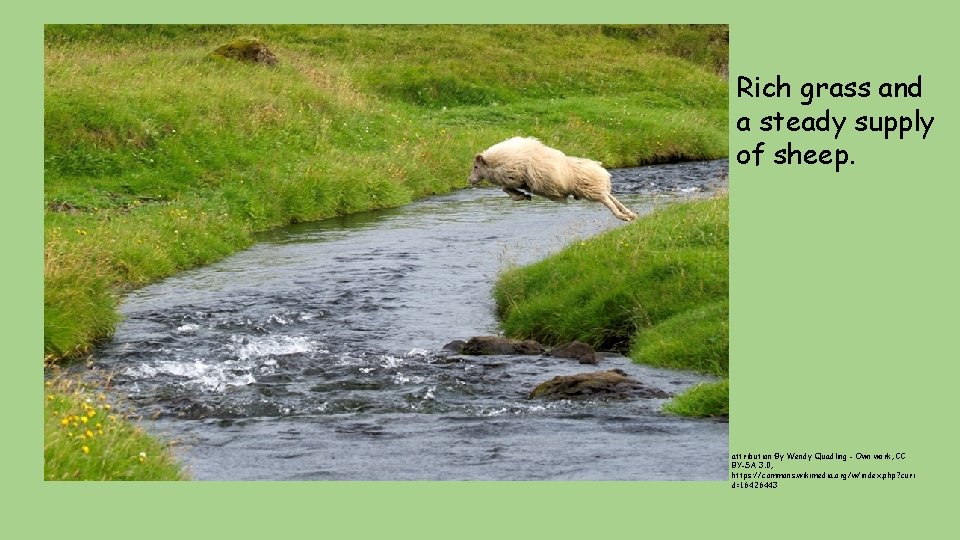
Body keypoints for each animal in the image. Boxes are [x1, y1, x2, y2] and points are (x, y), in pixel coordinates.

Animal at [468, 137, 637, 221]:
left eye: (475, 166)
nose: (470, 181)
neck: (495, 162)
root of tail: (601, 171)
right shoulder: (515, 180)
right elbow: (506, 189)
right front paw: (523, 196)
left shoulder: (514, 177)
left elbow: (505, 188)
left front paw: (522, 196)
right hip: (594, 189)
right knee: (611, 197)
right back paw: (629, 213)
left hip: (590, 190)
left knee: (608, 201)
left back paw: (622, 216)